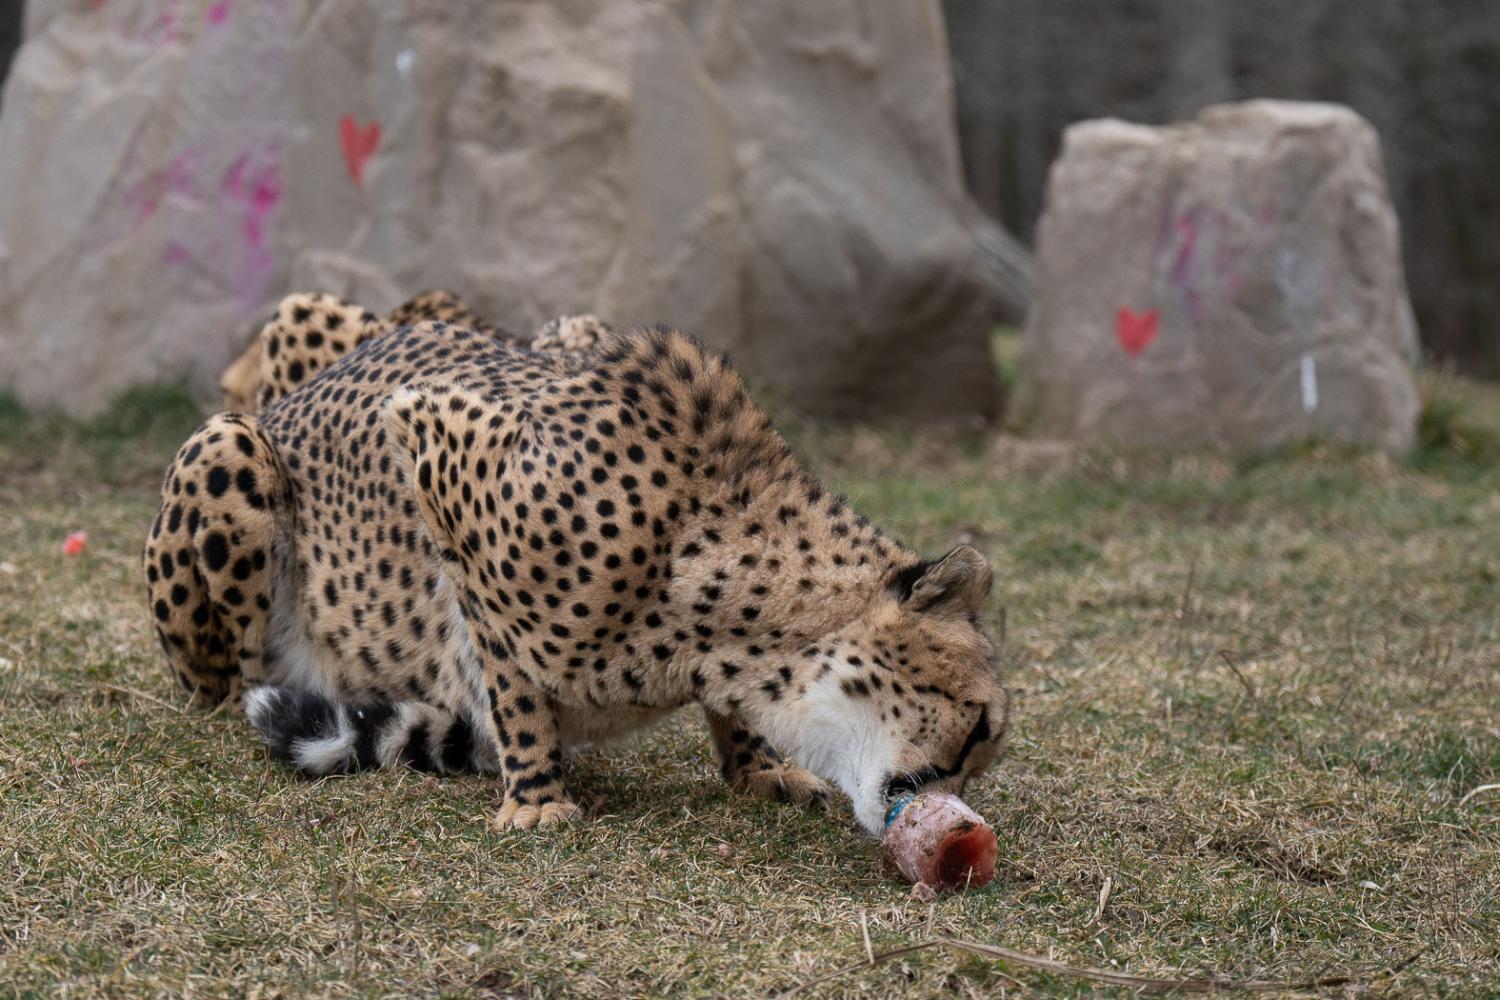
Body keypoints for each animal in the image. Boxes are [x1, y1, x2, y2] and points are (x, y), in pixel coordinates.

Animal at [143, 319, 1008, 827]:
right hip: (228, 445)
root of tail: (287, 398)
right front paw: (535, 796)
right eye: (979, 728)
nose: (954, 808)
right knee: (227, 682)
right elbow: (504, 664)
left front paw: (758, 766)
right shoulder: (432, 434)